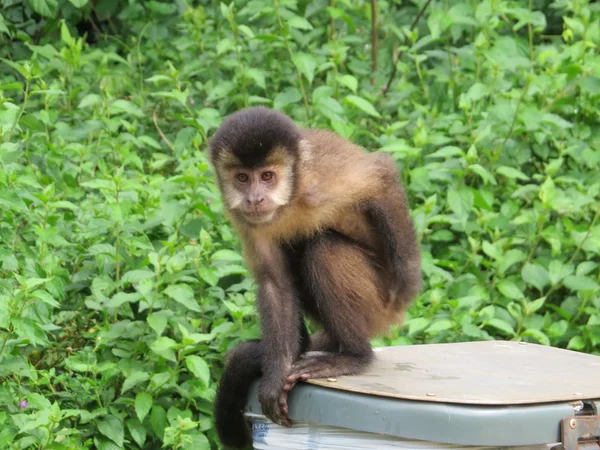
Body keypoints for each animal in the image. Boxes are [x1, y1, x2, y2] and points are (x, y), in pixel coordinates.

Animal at [209, 107, 420, 448]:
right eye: (242, 178)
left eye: (267, 176)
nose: (255, 198)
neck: (291, 200)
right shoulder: (249, 221)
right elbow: (275, 284)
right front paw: (277, 373)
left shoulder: (322, 179)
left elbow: (382, 175)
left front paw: (408, 277)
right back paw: (307, 346)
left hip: (377, 305)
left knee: (323, 248)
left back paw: (353, 356)